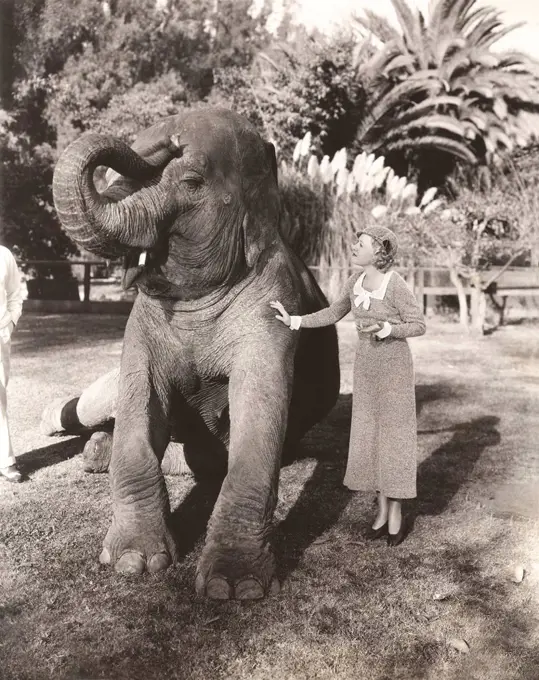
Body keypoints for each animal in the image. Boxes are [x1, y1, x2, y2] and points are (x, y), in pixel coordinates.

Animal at [47, 110, 342, 600]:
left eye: (190, 181)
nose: (170, 138)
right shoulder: (142, 322)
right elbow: (139, 400)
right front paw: (132, 563)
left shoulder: (276, 305)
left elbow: (258, 413)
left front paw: (233, 586)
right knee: (94, 405)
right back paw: (88, 444)